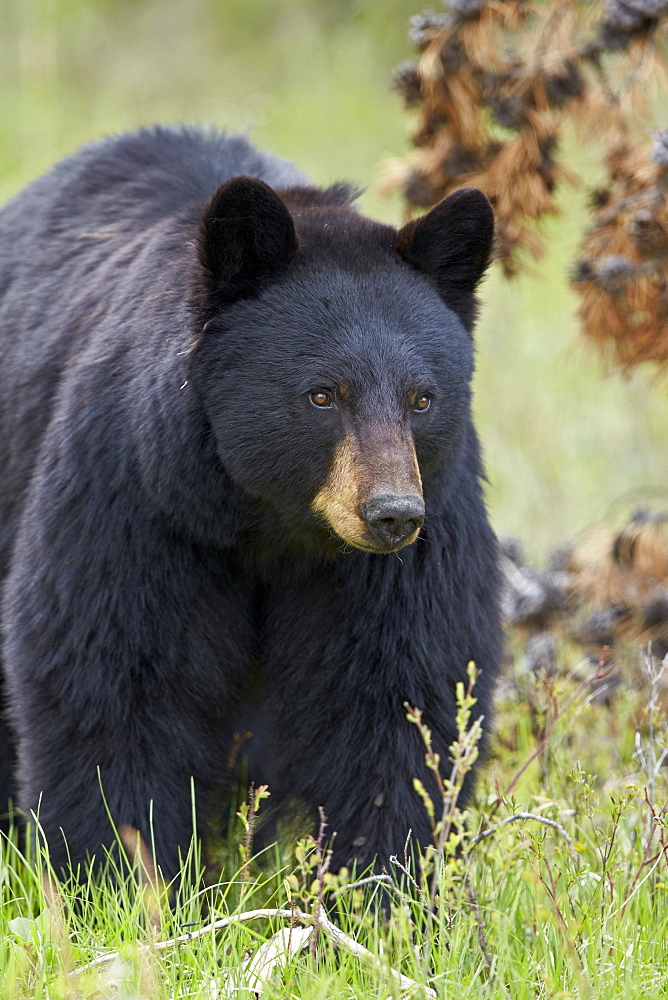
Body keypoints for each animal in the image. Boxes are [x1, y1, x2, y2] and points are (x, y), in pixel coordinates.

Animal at [0, 127, 500, 884]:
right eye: (323, 394)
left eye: (422, 397)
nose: (390, 514)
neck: (271, 526)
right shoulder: (136, 495)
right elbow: (111, 678)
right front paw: (117, 877)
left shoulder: (417, 535)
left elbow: (400, 697)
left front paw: (380, 888)